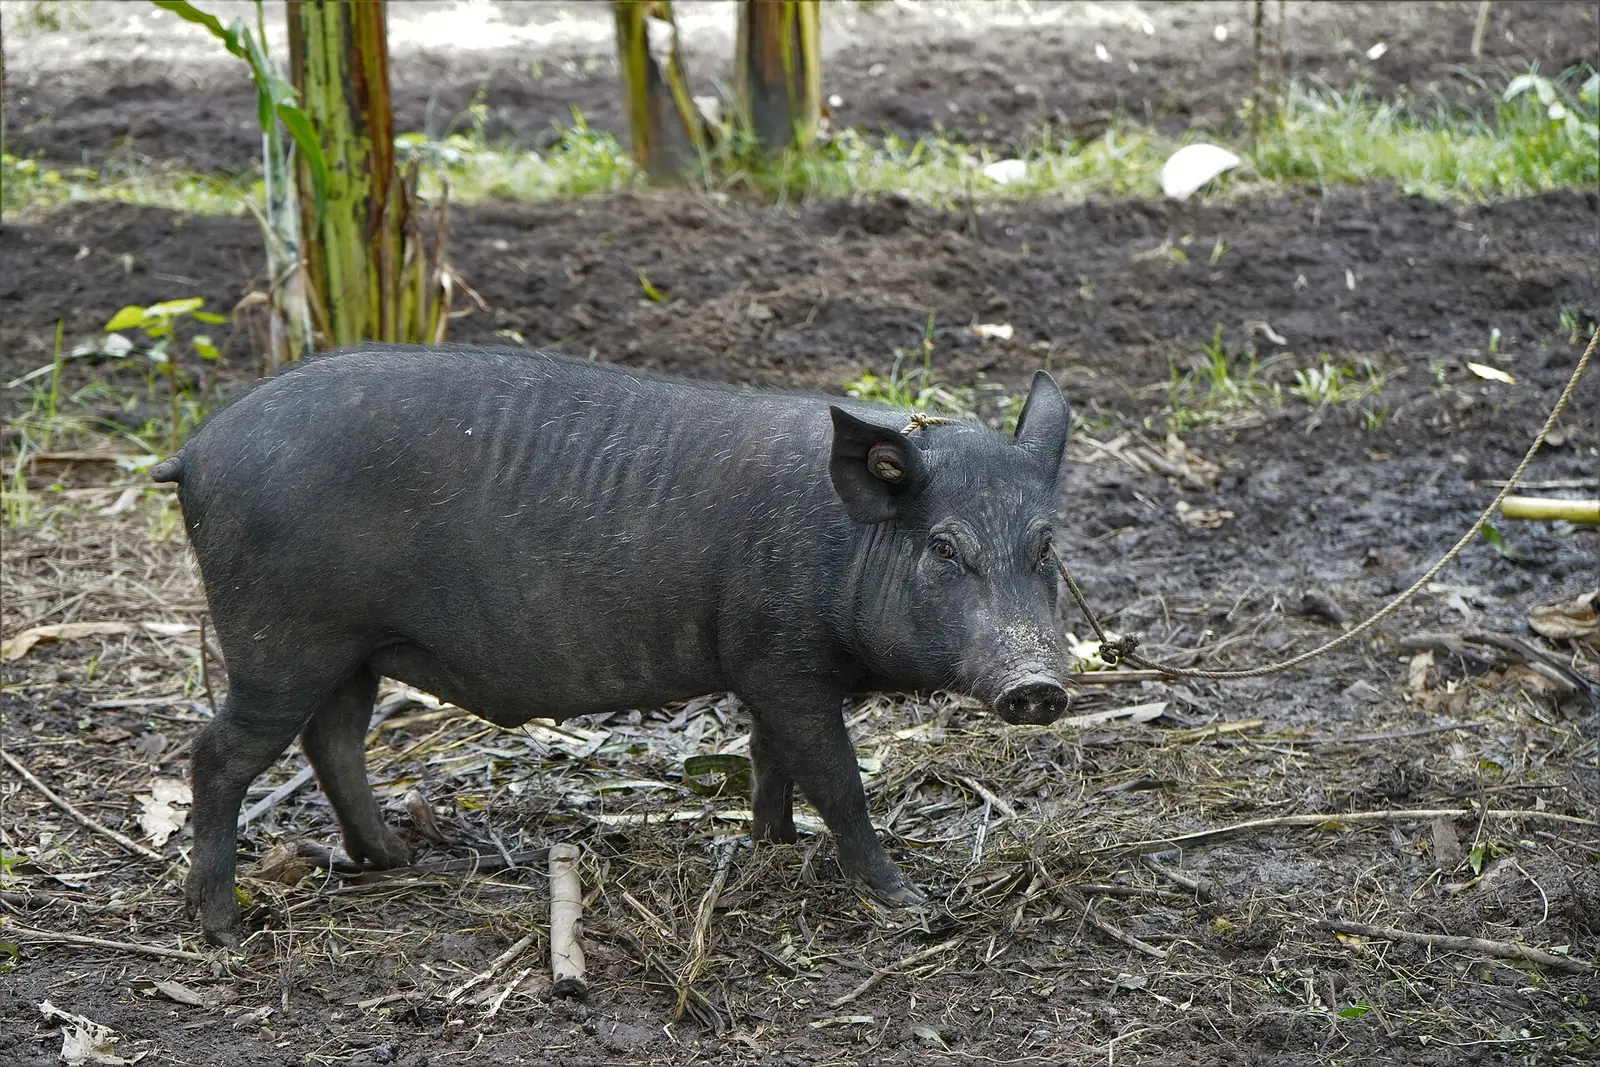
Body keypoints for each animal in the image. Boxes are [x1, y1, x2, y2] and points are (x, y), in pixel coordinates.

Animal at [154, 344, 1074, 947]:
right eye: (945, 548)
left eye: (1046, 546)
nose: (1039, 684)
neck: (849, 544)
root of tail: (194, 449)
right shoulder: (784, 662)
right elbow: (838, 781)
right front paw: (914, 903)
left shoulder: (764, 665)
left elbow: (770, 759)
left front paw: (776, 844)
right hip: (280, 639)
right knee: (218, 751)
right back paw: (223, 928)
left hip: (351, 649)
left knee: (333, 738)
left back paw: (402, 856)